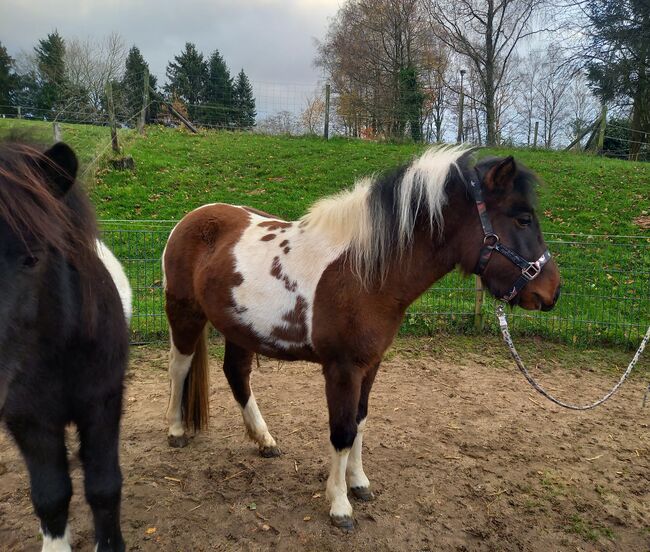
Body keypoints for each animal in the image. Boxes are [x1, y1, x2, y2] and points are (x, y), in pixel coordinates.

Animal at [161, 147, 556, 532]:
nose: (552, 292)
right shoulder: (342, 369)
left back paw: (264, 440)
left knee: (237, 374)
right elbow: (342, 430)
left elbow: (361, 421)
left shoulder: (370, 364)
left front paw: (359, 482)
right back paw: (176, 430)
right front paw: (339, 505)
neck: (364, 272)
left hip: (240, 329)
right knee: (179, 368)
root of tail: (192, 218)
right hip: (184, 313)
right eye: (523, 219)